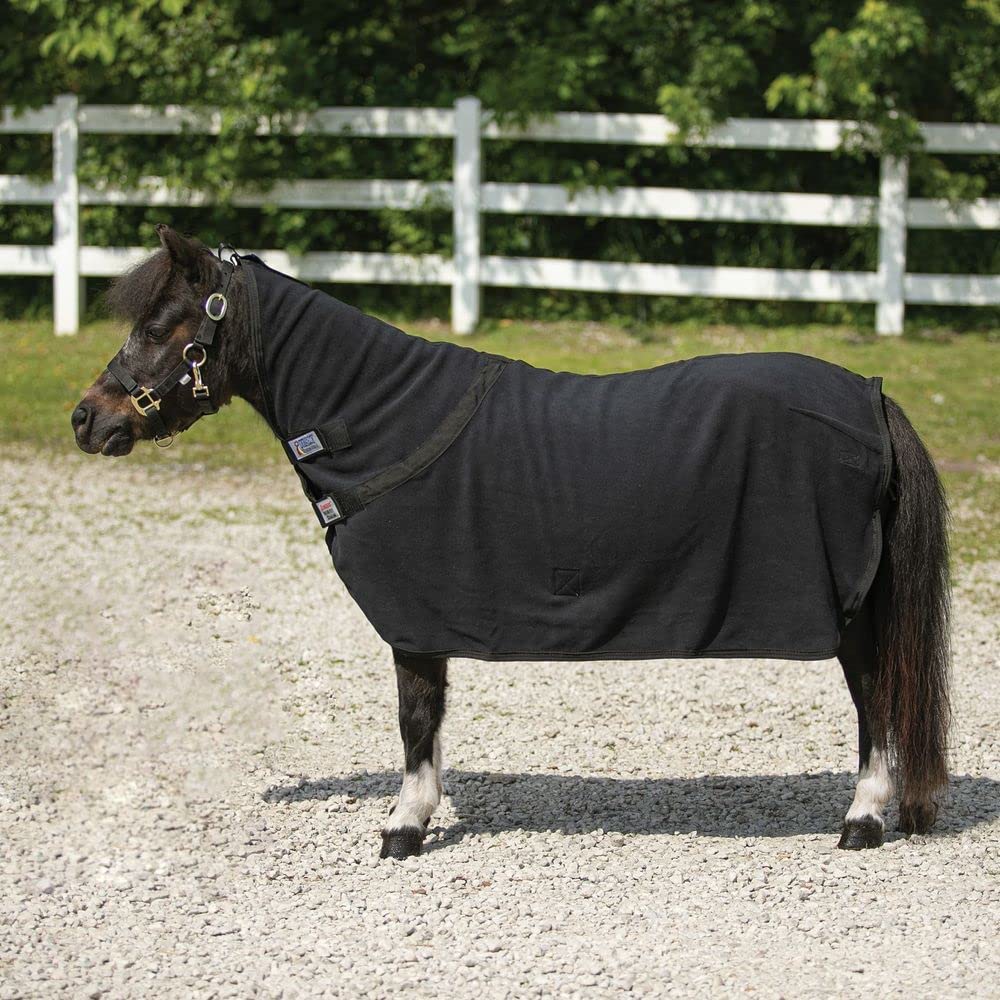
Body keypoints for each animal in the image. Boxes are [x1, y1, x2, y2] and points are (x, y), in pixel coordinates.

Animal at [72, 226, 951, 860]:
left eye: (162, 326)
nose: (86, 418)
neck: (386, 418)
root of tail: (871, 397)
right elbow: (426, 722)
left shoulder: (413, 619)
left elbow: (415, 721)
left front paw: (404, 828)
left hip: (849, 614)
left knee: (877, 703)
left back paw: (862, 821)